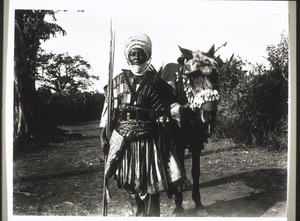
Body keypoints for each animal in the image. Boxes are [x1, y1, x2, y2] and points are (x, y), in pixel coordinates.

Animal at [162, 45, 220, 216]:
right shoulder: (177, 143)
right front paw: (178, 205)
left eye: (215, 74)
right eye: (191, 76)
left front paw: (198, 203)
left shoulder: (196, 143)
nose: (209, 110)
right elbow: (180, 167)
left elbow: (195, 171)